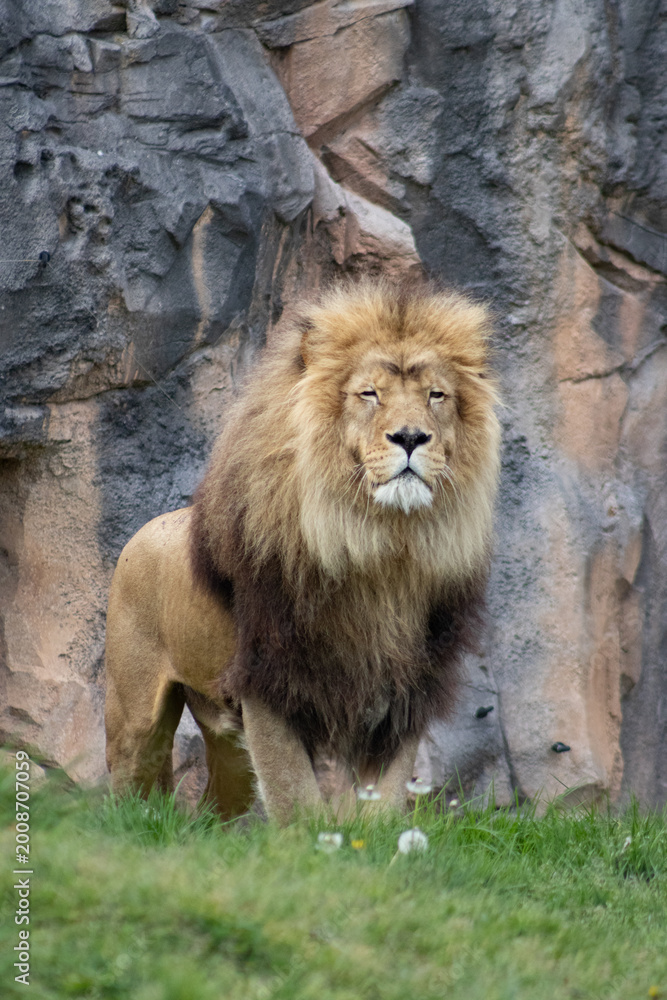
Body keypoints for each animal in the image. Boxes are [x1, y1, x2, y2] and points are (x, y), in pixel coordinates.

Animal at [104, 279, 501, 824]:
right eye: (369, 394)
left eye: (436, 395)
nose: (411, 437)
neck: (379, 545)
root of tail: (143, 528)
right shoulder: (267, 678)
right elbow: (294, 795)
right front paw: (309, 840)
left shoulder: (405, 689)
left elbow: (385, 796)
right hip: (136, 713)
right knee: (130, 786)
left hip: (224, 736)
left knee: (217, 801)